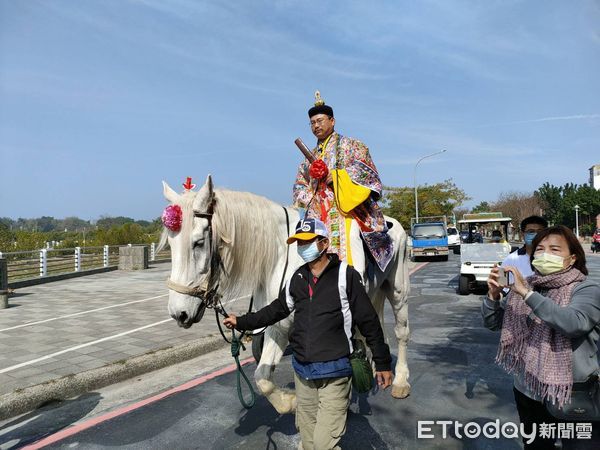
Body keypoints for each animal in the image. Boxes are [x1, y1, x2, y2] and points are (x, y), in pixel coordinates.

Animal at [162, 176, 410, 414]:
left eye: (198, 243)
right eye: (170, 246)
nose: (178, 313)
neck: (282, 257)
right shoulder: (278, 324)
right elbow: (262, 378)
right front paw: (290, 403)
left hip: (398, 290)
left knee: (401, 333)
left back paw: (400, 381)